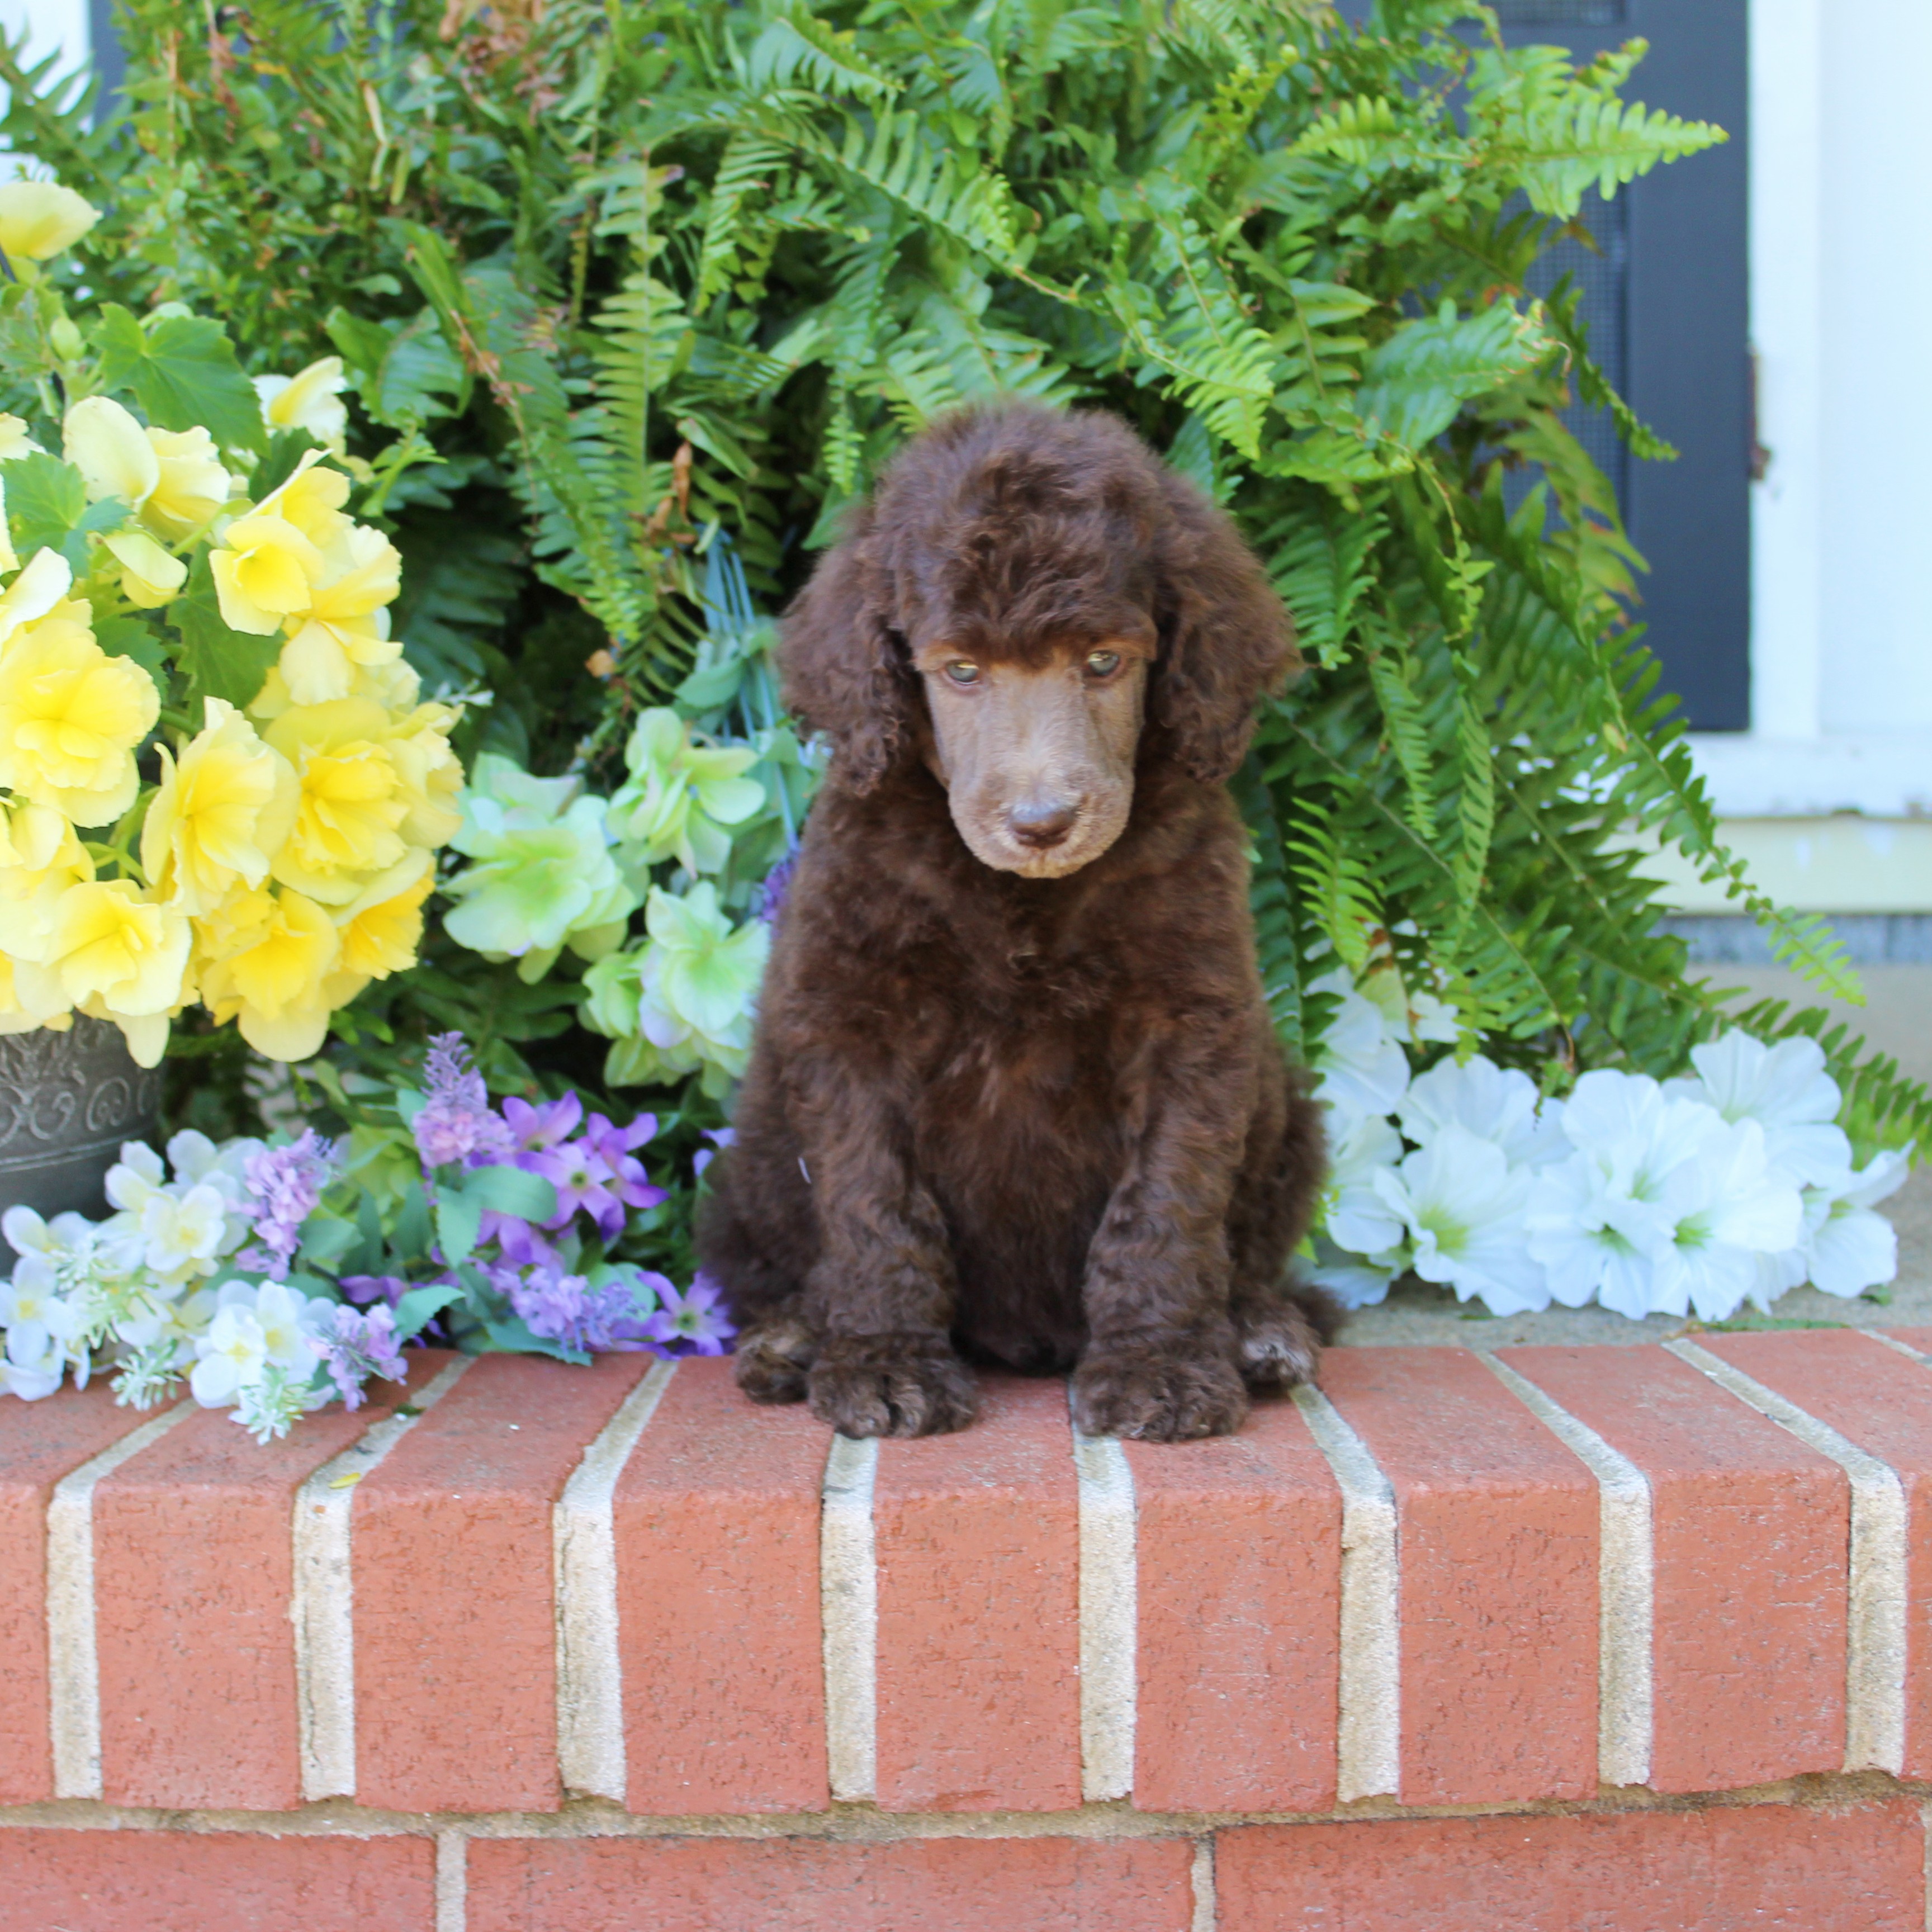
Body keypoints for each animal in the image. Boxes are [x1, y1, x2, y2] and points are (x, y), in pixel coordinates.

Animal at [703, 400, 1337, 1445]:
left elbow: (1166, 1200)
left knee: (1247, 1258)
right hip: (754, 1149)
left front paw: (1160, 1364)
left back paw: (1258, 1330)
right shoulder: (848, 1020)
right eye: (961, 671)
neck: (1022, 901)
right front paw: (883, 1361)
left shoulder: (1193, 1020)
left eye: (1104, 662)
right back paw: (794, 1337)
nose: (1043, 823)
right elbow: (874, 1203)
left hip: (1282, 1103)